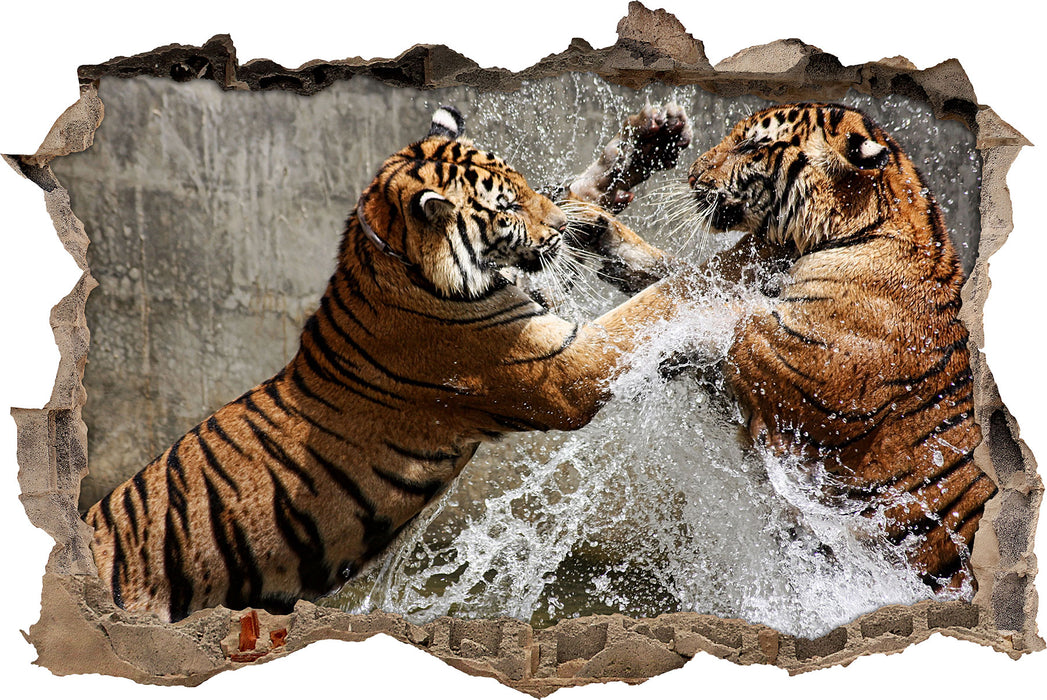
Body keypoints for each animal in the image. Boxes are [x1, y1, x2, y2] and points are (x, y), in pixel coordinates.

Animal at [84, 104, 697, 622]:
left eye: (523, 184)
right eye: (507, 207)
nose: (559, 230)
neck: (396, 260)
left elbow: (574, 213)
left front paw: (647, 142)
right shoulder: (558, 368)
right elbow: (653, 303)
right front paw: (714, 272)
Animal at [568, 102, 997, 592]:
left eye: (750, 145)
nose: (693, 174)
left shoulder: (792, 367)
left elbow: (703, 307)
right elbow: (687, 278)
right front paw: (595, 227)